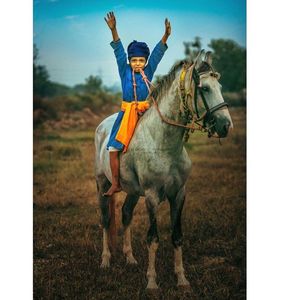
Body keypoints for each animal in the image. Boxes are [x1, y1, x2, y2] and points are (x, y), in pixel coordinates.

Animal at [95, 52, 233, 290]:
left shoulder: (178, 194)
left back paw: (130, 257)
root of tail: (102, 126)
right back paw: (105, 261)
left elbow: (177, 236)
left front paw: (182, 279)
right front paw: (152, 282)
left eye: (220, 86)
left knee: (126, 214)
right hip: (103, 183)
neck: (163, 142)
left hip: (133, 191)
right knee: (105, 219)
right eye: (205, 88)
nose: (226, 126)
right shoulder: (152, 196)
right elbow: (153, 238)